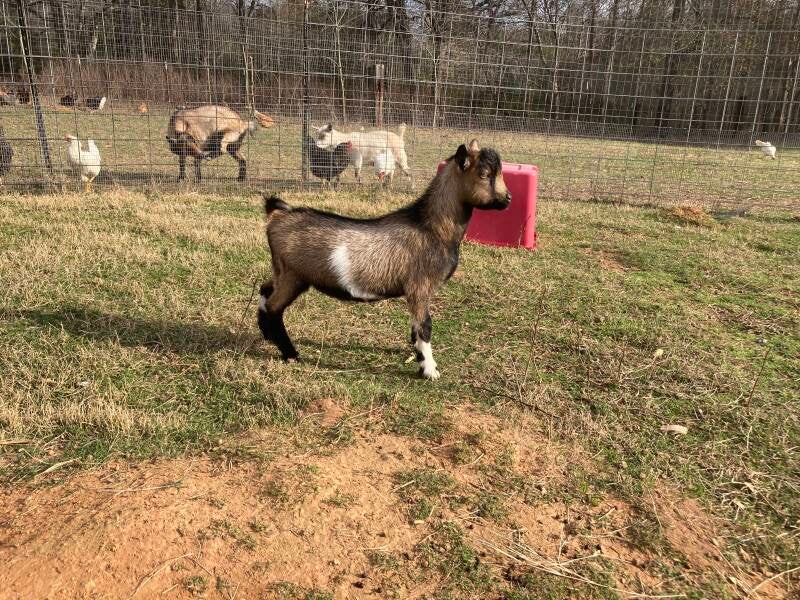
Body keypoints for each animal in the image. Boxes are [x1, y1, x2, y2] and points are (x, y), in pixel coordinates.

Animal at [257, 139, 510, 380]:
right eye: (484, 174)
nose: (507, 198)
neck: (431, 228)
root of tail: (277, 215)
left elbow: (415, 325)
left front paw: (416, 353)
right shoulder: (420, 286)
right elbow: (425, 325)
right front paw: (429, 370)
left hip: (282, 271)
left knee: (265, 288)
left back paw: (266, 333)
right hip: (293, 275)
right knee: (274, 307)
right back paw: (290, 353)